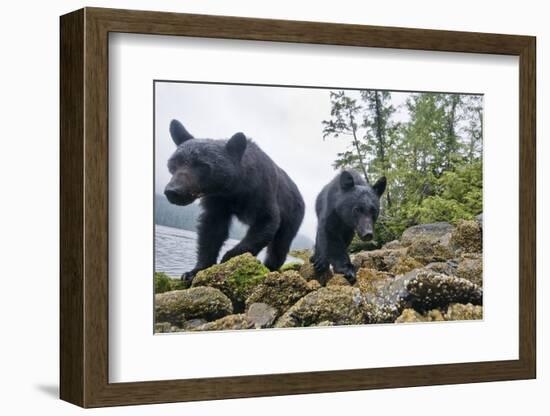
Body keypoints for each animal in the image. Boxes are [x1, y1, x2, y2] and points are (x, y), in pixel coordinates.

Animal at [166, 118, 308, 284]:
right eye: (174, 162)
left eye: (202, 165)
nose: (173, 191)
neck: (234, 187)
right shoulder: (218, 200)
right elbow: (211, 229)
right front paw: (193, 271)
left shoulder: (261, 190)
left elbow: (267, 222)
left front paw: (229, 258)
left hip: (293, 214)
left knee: (281, 244)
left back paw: (271, 267)